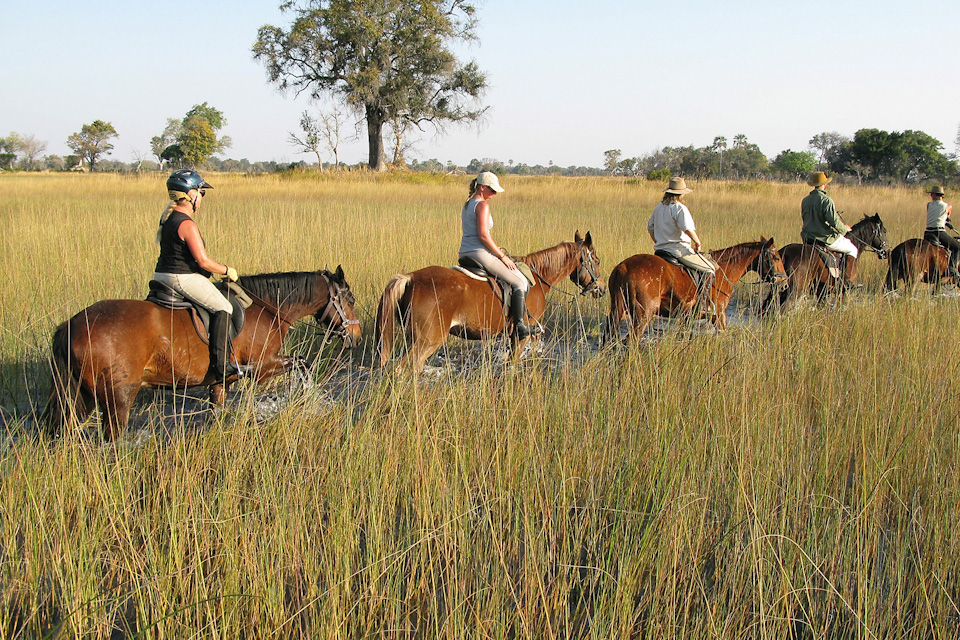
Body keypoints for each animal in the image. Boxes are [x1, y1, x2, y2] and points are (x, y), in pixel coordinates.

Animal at [43, 264, 362, 440]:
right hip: (118, 398)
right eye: (350, 299)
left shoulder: (220, 381)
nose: (357, 337)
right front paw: (306, 396)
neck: (267, 308)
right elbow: (303, 363)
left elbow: (217, 413)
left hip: (82, 397)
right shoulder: (262, 367)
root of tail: (71, 325)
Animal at [374, 231, 604, 372]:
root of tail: (410, 278)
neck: (537, 278)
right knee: (403, 369)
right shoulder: (524, 333)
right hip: (428, 341)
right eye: (597, 260)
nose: (600, 288)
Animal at [604, 238, 792, 344]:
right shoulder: (720, 313)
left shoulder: (691, 315)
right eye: (776, 258)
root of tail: (623, 266)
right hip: (644, 314)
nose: (784, 284)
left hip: (617, 310)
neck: (723, 270)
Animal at [760, 214, 888, 314]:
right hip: (793, 290)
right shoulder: (842, 291)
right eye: (884, 231)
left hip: (778, 288)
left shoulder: (822, 291)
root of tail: (783, 253)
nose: (886, 252)